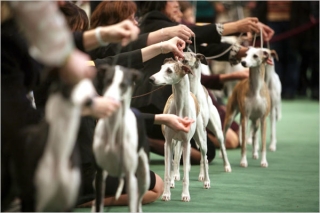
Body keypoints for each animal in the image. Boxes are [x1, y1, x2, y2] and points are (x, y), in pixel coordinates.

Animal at [91, 65, 149, 213]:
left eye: (123, 85)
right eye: (108, 81)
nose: (109, 99)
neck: (113, 128)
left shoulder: (130, 176)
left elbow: (132, 206)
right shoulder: (99, 174)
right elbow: (99, 205)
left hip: (144, 177)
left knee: (138, 201)